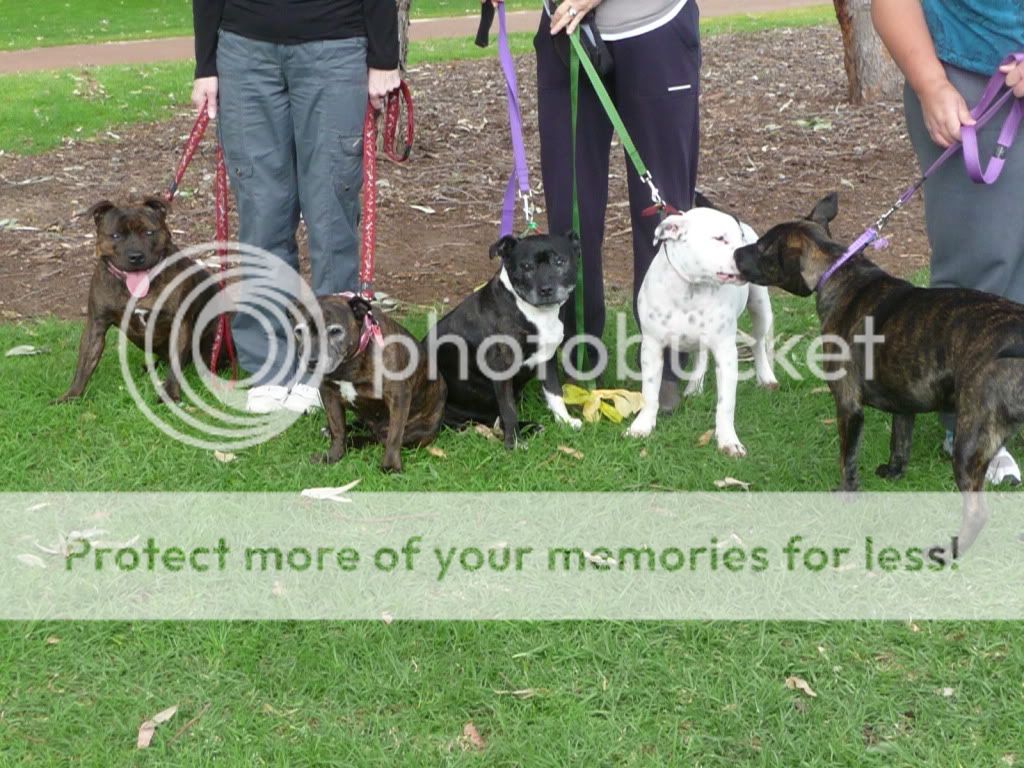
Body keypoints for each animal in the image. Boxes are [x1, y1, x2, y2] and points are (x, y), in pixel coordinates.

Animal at [55, 196, 219, 403]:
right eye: (115, 235)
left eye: (149, 233)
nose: (136, 256)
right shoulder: (95, 325)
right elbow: (84, 363)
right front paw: (72, 395)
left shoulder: (179, 325)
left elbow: (175, 366)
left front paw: (170, 394)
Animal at [292, 296, 444, 473]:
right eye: (299, 332)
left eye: (335, 331)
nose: (311, 360)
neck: (349, 363)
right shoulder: (329, 394)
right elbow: (338, 429)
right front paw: (333, 455)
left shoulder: (398, 396)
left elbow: (394, 436)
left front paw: (390, 466)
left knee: (379, 438)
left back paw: (354, 441)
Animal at [428, 234, 581, 450]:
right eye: (526, 266)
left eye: (560, 261)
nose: (546, 289)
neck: (530, 311)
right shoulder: (501, 367)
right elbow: (509, 410)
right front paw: (515, 443)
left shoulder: (547, 359)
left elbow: (555, 393)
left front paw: (565, 421)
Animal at [622, 205, 774, 456]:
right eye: (719, 238)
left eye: (740, 237)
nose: (747, 256)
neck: (692, 286)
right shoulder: (652, 346)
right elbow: (650, 392)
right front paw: (642, 426)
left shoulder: (726, 352)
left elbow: (726, 403)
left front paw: (728, 440)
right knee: (701, 355)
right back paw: (694, 387)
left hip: (760, 308)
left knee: (759, 342)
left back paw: (766, 376)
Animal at [733, 193, 1024, 561]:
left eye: (762, 247)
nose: (734, 253)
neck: (837, 270)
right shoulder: (905, 401)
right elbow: (900, 442)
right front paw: (894, 473)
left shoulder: (848, 405)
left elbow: (847, 458)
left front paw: (845, 493)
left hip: (970, 439)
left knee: (977, 511)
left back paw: (949, 550)